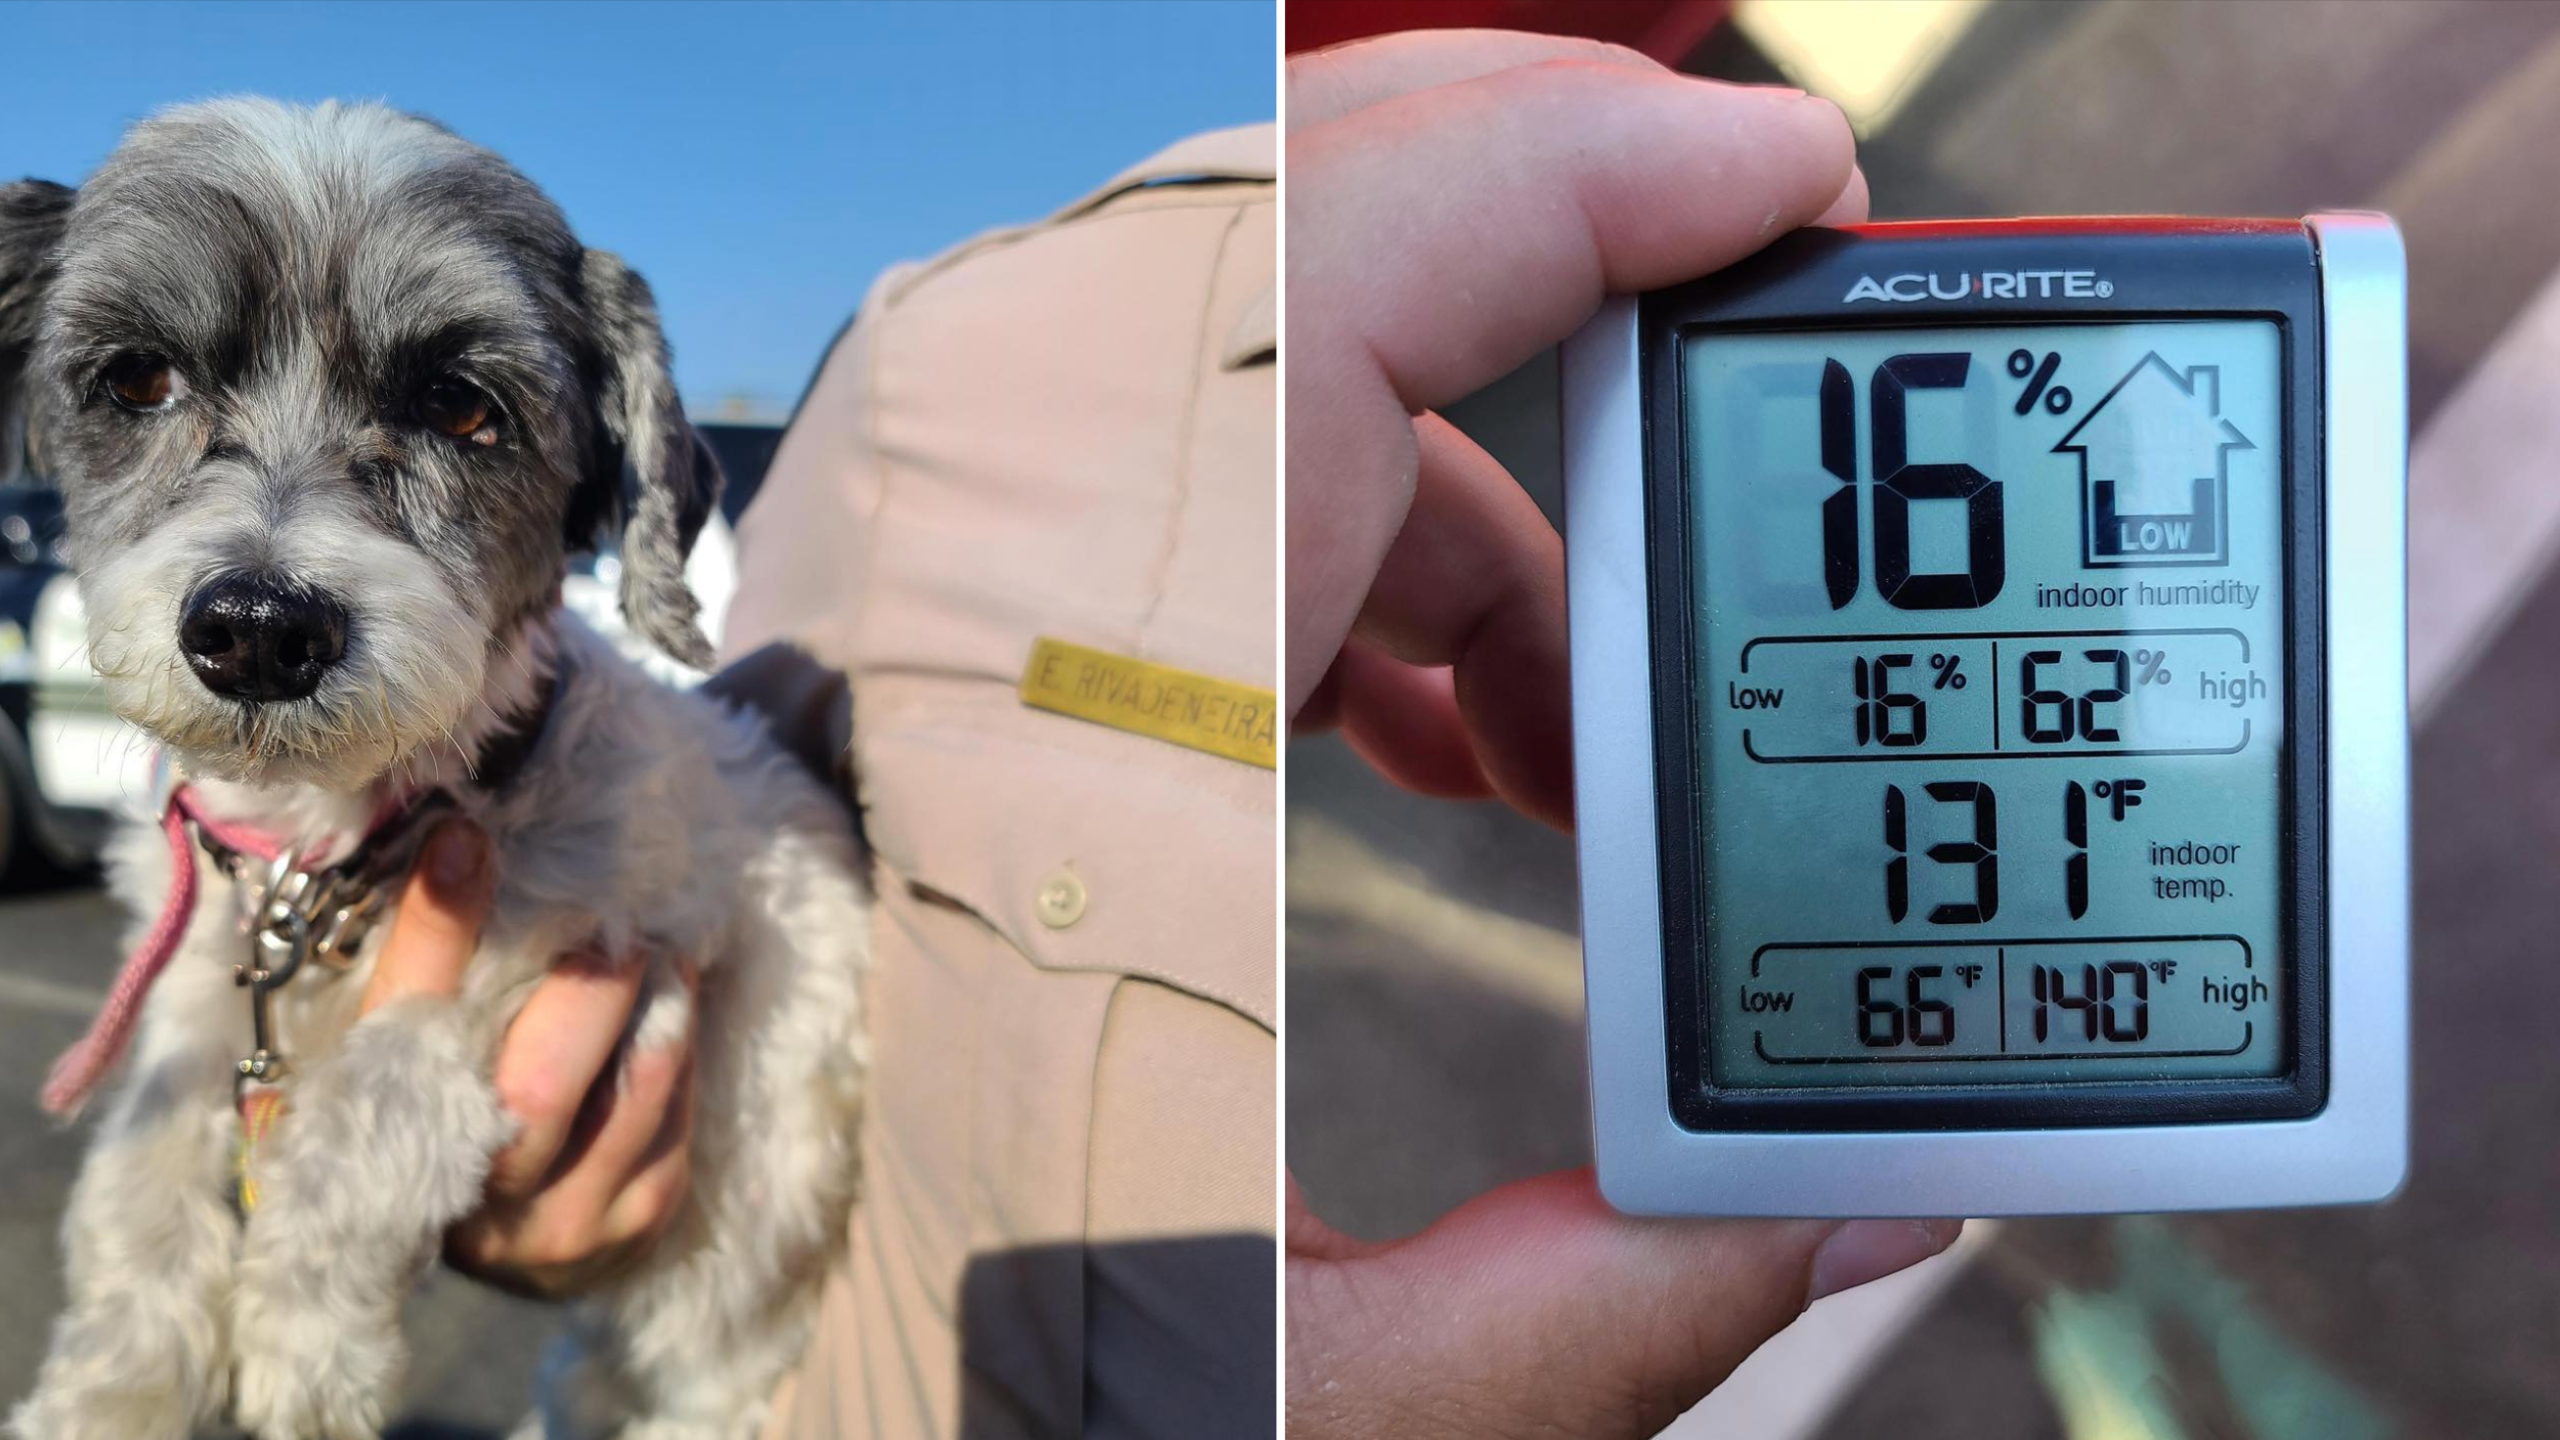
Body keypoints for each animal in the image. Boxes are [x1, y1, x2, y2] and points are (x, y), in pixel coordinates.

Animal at [0, 95, 870, 1424]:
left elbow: (376, 1106)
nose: (260, 628)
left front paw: (307, 1346)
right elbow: (134, 1188)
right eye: (139, 378)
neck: (336, 855)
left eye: (465, 408)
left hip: (735, 1299)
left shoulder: (597, 983)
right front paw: (110, 1387)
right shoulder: (198, 1001)